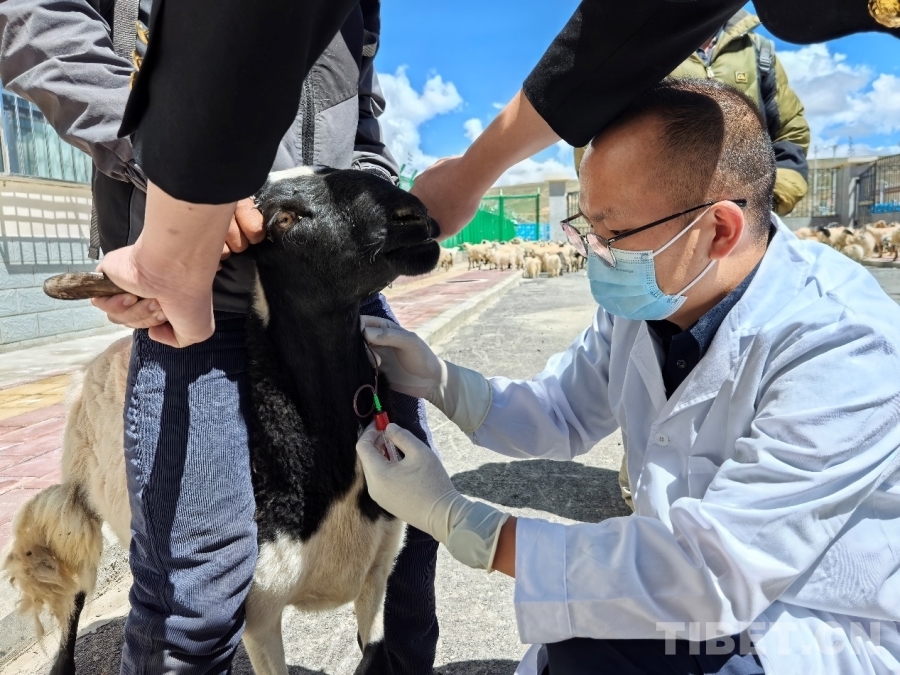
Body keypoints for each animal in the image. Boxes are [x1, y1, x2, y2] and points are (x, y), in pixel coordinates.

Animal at [2, 167, 441, 675]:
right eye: (283, 220)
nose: (412, 217)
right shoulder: (261, 609)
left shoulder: (376, 577)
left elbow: (374, 657)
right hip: (77, 498)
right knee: (72, 583)